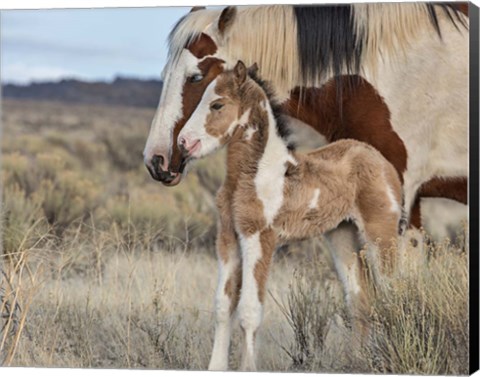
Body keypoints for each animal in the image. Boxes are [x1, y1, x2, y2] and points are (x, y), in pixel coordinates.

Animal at [178, 61, 404, 370]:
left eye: (217, 104)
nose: (184, 142)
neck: (254, 174)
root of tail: (380, 160)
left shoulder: (259, 238)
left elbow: (250, 310)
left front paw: (248, 368)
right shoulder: (227, 238)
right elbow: (223, 306)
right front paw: (216, 367)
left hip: (380, 233)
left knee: (395, 293)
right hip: (342, 234)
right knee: (359, 297)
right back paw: (356, 361)